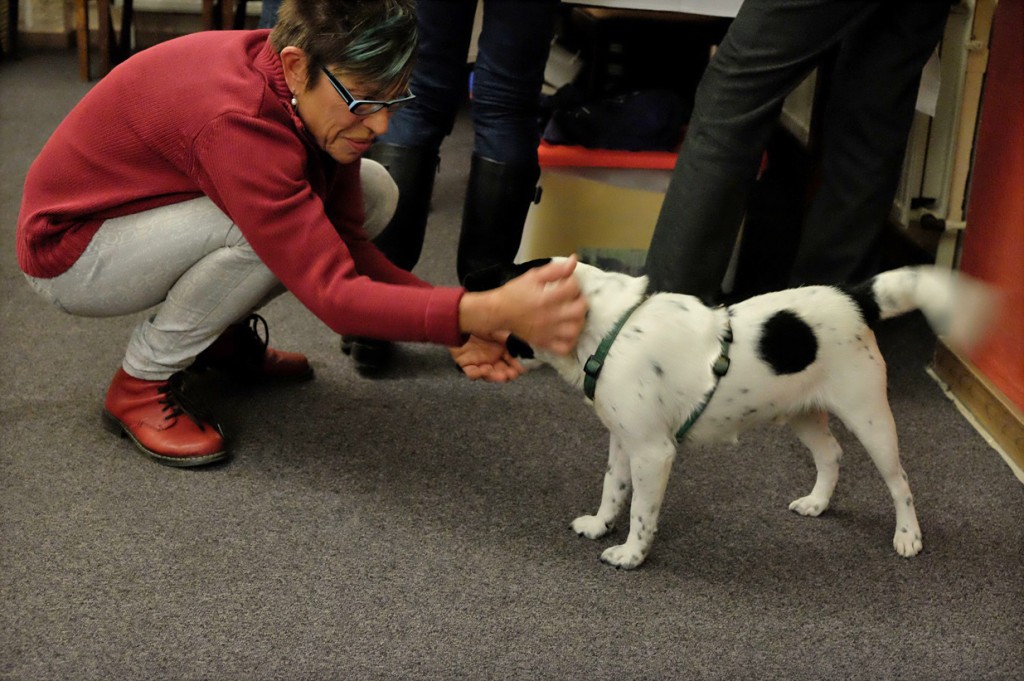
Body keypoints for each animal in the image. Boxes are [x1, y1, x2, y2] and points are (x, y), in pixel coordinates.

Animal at [468, 260, 995, 569]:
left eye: (506, 287)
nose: (471, 288)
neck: (611, 328)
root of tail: (853, 297)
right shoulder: (623, 441)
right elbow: (612, 489)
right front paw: (600, 524)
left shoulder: (653, 453)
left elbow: (641, 510)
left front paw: (632, 554)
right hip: (805, 415)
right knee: (832, 456)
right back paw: (817, 502)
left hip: (870, 417)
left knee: (900, 482)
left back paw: (908, 535)